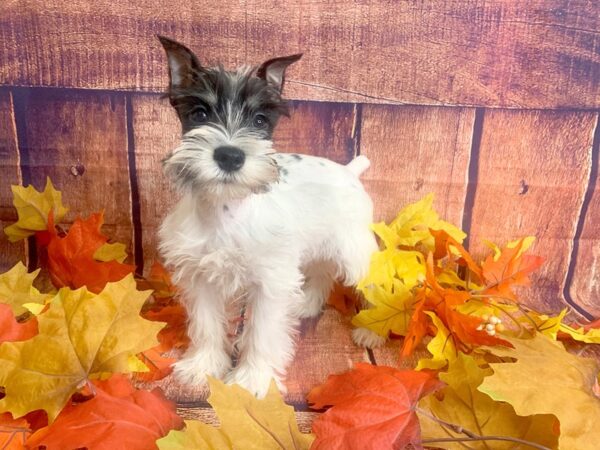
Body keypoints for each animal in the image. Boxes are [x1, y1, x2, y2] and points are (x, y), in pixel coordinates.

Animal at [155, 37, 380, 398]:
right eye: (199, 113)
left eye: (260, 120)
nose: (229, 155)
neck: (227, 209)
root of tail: (348, 170)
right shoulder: (200, 277)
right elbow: (205, 324)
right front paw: (203, 366)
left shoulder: (269, 284)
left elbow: (261, 333)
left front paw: (252, 380)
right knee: (322, 272)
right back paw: (306, 304)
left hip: (355, 252)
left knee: (377, 284)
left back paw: (373, 331)